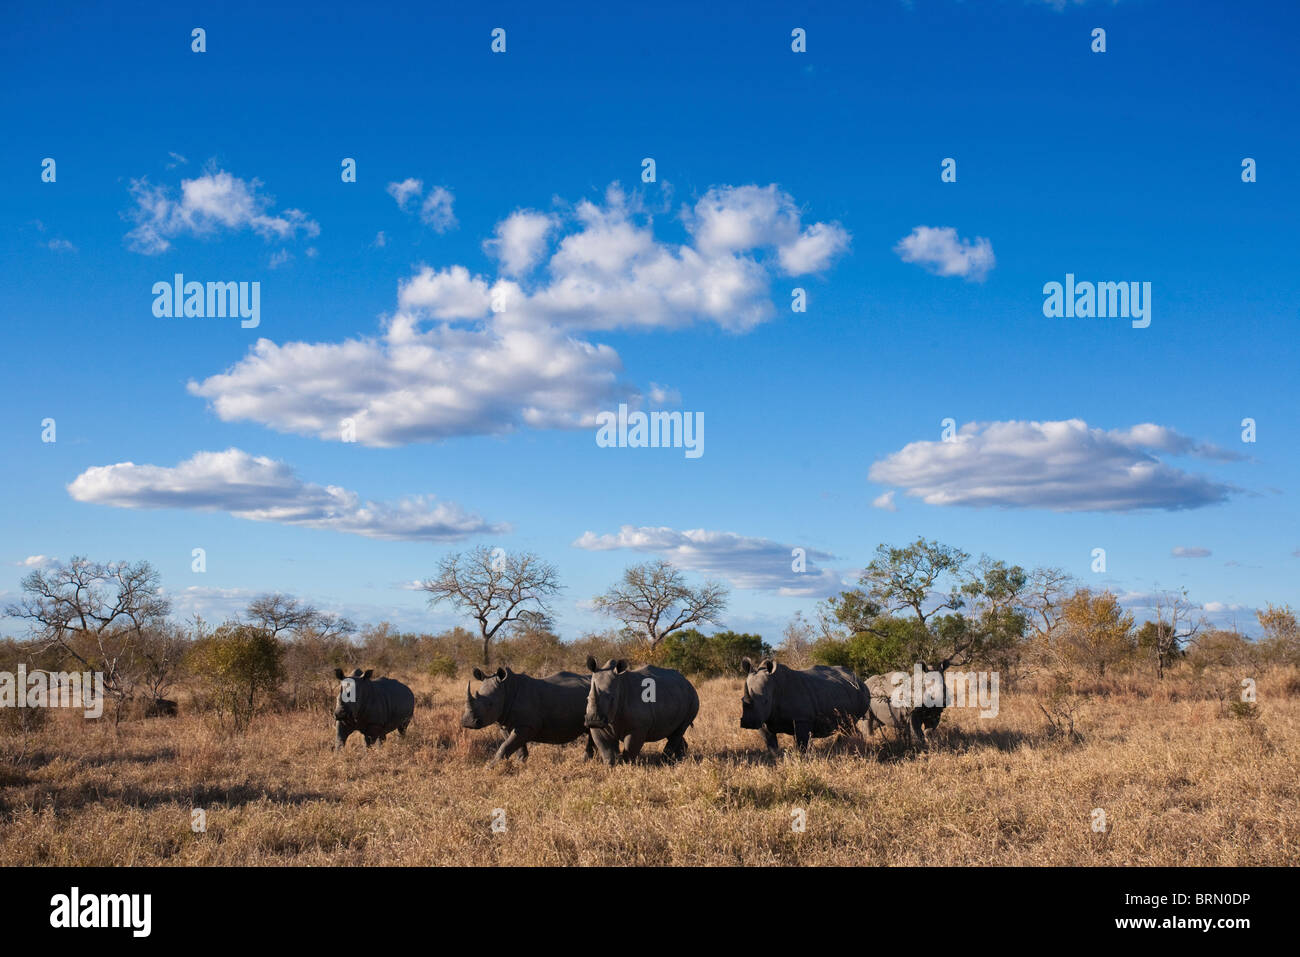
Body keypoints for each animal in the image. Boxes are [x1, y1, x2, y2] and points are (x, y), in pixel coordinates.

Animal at [462, 665, 595, 764]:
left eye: (490, 704)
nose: (468, 722)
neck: (507, 689)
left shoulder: (527, 725)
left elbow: (504, 747)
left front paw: (490, 769)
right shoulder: (505, 723)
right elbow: (516, 748)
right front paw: (519, 765)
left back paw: (585, 762)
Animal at [743, 657, 873, 754]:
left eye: (766, 701)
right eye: (742, 700)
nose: (748, 723)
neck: (774, 685)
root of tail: (859, 679)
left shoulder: (802, 719)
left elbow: (802, 746)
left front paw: (803, 761)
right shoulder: (763, 719)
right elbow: (771, 745)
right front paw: (778, 760)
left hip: (861, 693)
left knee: (849, 724)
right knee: (848, 725)